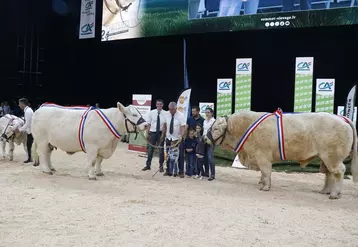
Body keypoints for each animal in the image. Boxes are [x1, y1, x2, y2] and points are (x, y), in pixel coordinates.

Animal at [204, 109, 358, 199]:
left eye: (216, 128)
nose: (204, 138)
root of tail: (342, 118)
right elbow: (263, 173)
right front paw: (262, 182)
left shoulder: (262, 156)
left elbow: (266, 171)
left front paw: (265, 187)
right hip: (326, 158)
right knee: (329, 174)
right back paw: (325, 191)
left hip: (332, 157)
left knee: (339, 171)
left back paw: (334, 194)